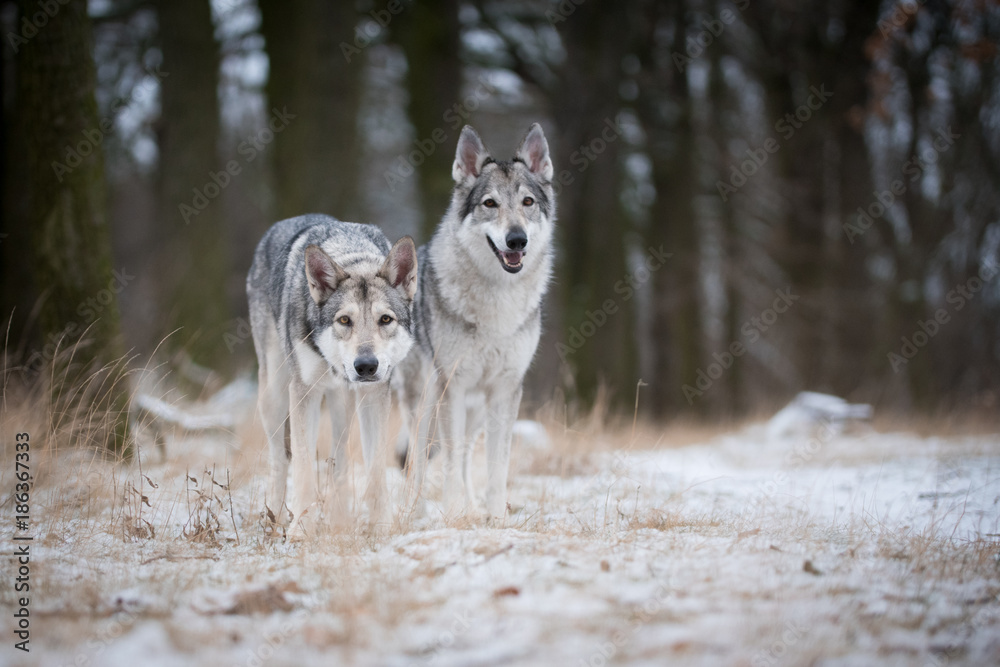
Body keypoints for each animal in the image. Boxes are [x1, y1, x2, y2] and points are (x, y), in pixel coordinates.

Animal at [247, 214, 417, 535]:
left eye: (385, 319)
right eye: (344, 320)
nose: (366, 366)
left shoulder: (375, 394)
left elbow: (376, 466)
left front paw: (382, 527)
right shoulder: (304, 393)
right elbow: (303, 465)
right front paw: (301, 531)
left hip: (343, 405)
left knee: (340, 462)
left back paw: (340, 521)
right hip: (274, 396)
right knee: (280, 459)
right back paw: (276, 518)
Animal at [396, 123, 555, 521]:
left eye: (527, 203)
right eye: (490, 204)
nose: (517, 239)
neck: (498, 298)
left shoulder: (505, 390)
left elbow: (497, 466)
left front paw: (495, 518)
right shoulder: (452, 386)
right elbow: (449, 462)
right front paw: (453, 516)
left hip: (477, 410)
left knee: (467, 454)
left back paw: (471, 508)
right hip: (426, 402)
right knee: (417, 459)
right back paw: (415, 513)